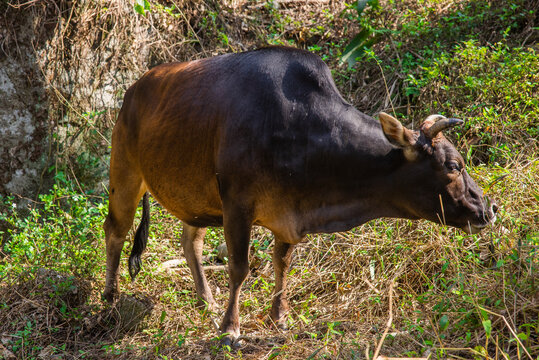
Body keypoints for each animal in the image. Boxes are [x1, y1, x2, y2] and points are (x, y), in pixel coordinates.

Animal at [101, 45, 498, 346]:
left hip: (198, 196)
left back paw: (206, 302)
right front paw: (230, 329)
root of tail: (134, 89)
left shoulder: (287, 215)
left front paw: (278, 318)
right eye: (453, 165)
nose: (489, 209)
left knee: (190, 241)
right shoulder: (238, 205)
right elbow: (240, 267)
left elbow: (282, 264)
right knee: (115, 232)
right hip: (124, 172)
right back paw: (109, 300)